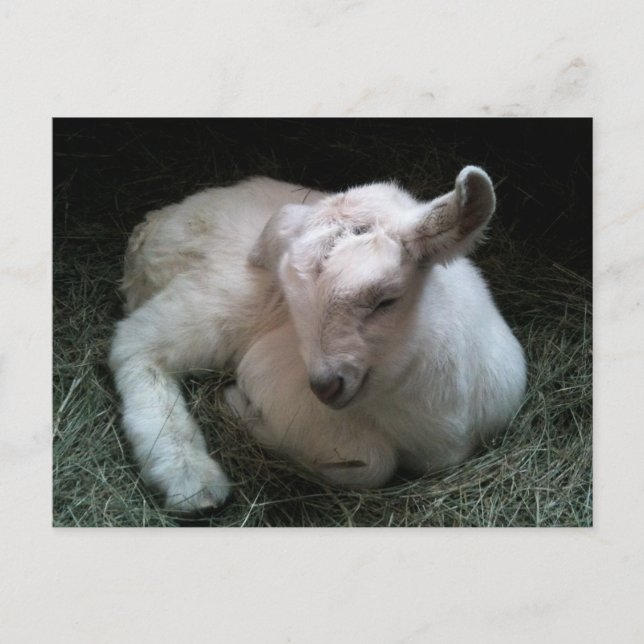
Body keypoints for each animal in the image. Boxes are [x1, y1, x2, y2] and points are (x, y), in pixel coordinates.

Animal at [109, 167, 526, 513]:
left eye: (386, 300)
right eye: (293, 299)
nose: (325, 386)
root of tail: (154, 224)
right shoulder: (270, 375)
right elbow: (373, 463)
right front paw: (239, 406)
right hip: (216, 296)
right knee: (134, 345)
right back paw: (190, 477)